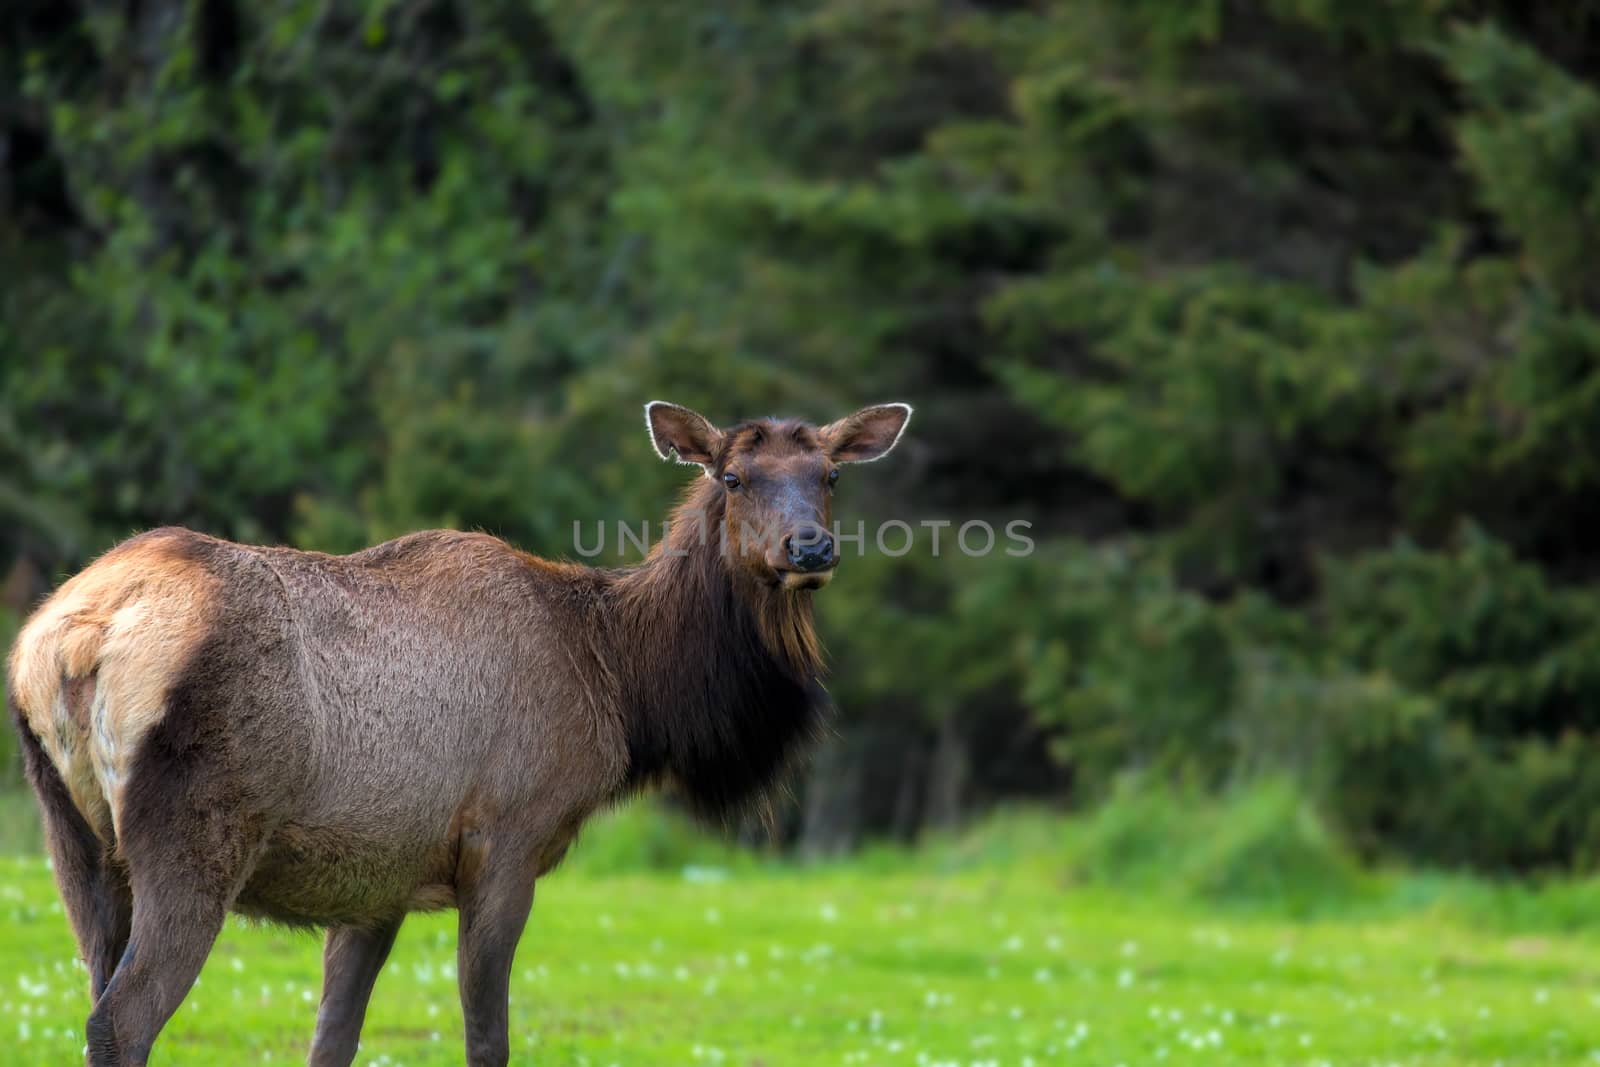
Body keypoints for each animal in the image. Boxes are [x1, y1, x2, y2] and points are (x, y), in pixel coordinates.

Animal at [6, 403, 915, 1067]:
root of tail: (72, 636)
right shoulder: (506, 838)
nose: (811, 545)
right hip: (196, 828)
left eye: (830, 474)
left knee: (96, 991)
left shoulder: (375, 873)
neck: (625, 687)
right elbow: (488, 1037)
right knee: (122, 1019)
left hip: (73, 837)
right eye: (733, 475)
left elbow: (332, 1040)